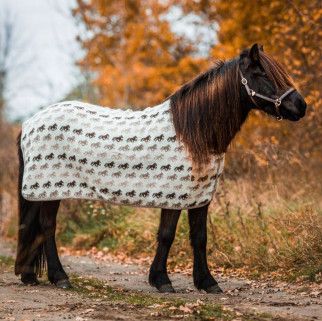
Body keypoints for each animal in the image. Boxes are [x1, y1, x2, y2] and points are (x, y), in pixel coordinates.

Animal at [15, 43, 306, 292]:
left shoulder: (200, 196)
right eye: (262, 74)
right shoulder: (173, 195)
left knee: (33, 226)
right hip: (51, 189)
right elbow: (167, 235)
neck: (192, 132)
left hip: (41, 191)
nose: (301, 106)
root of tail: (29, 124)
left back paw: (30, 276)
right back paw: (60, 278)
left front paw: (208, 283)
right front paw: (162, 281)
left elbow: (199, 237)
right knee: (47, 228)